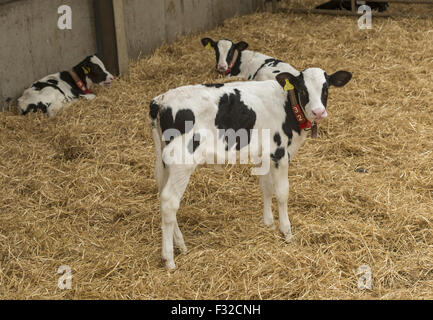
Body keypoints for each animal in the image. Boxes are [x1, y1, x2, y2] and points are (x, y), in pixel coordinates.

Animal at [149, 68, 352, 270]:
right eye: (303, 89)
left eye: (326, 88)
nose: (318, 112)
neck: (287, 105)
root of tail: (161, 99)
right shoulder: (279, 154)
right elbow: (282, 193)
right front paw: (286, 232)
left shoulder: (265, 156)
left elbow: (266, 188)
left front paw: (268, 224)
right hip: (182, 161)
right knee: (169, 201)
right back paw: (169, 259)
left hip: (165, 162)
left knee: (163, 196)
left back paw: (180, 245)